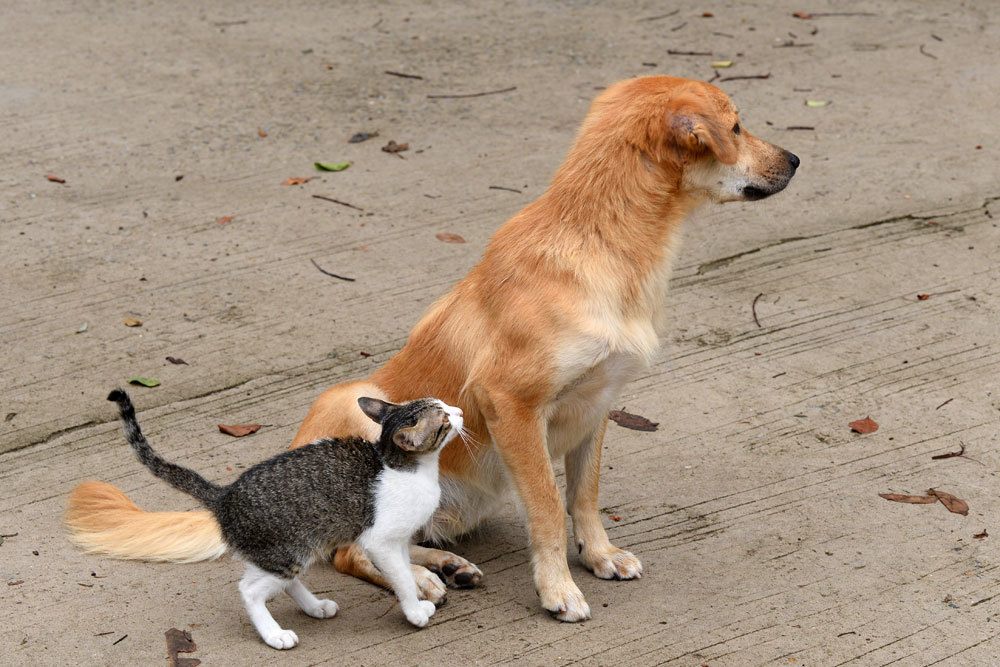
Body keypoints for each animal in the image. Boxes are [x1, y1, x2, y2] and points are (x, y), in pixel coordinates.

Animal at [107, 388, 462, 648]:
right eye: (443, 417)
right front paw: (414, 612)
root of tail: (225, 496)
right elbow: (400, 575)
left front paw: (417, 600)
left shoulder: (399, 539)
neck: (405, 468)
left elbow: (405, 570)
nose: (458, 411)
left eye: (445, 406)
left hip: (294, 549)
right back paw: (274, 634)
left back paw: (314, 607)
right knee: (249, 590)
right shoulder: (380, 541)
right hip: (286, 551)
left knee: (275, 581)